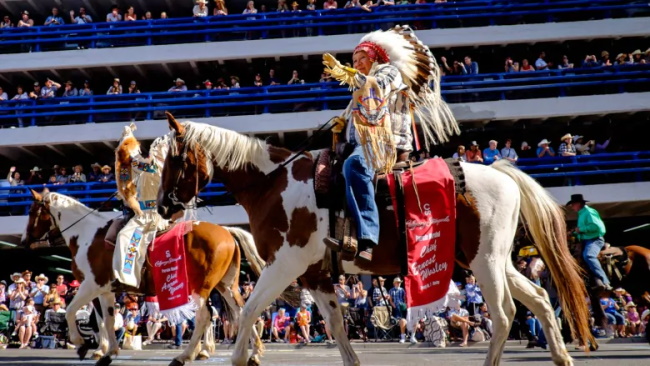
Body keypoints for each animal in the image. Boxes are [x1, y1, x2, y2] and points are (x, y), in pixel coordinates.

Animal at [21, 190, 266, 366]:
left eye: (32, 211)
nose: (24, 240)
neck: (87, 236)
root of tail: (226, 232)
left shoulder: (91, 285)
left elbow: (73, 311)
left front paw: (82, 345)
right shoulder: (106, 290)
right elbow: (107, 320)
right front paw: (108, 352)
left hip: (202, 288)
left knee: (205, 316)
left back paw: (185, 356)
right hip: (226, 286)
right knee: (243, 310)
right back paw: (252, 353)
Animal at [156, 112, 592, 366]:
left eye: (174, 160)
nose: (161, 206)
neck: (272, 184)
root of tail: (502, 173)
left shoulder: (284, 265)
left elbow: (247, 312)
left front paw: (240, 358)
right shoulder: (315, 274)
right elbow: (336, 324)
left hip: (485, 264)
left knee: (503, 316)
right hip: (490, 261)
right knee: (539, 299)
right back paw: (562, 356)